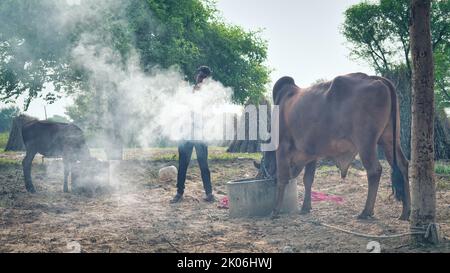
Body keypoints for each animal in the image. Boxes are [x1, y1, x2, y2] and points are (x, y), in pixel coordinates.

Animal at [268, 73, 410, 220]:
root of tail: (375, 78)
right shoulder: (311, 153)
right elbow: (308, 179)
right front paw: (306, 207)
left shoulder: (282, 147)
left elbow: (282, 178)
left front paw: (275, 211)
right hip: (390, 140)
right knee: (403, 165)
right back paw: (405, 212)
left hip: (366, 143)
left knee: (374, 170)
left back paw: (366, 211)